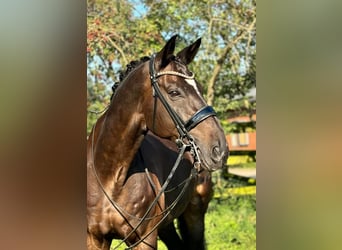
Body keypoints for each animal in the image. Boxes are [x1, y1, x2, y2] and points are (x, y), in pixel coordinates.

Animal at [87, 35, 228, 250]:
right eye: (174, 92)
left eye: (201, 89)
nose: (219, 150)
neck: (111, 174)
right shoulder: (95, 238)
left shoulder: (145, 239)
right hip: (166, 225)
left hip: (194, 215)